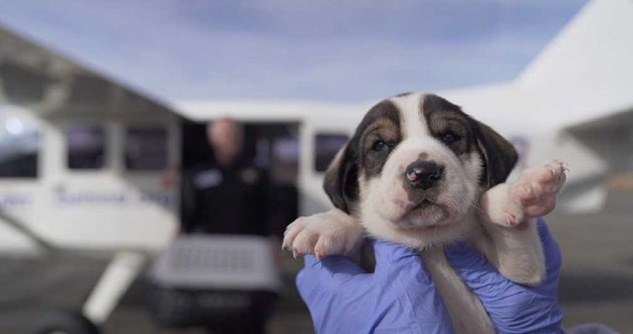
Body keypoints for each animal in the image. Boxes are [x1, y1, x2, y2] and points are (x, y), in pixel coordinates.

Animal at [284, 92, 564, 332]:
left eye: (449, 136)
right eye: (380, 145)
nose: (422, 173)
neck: (430, 240)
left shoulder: (522, 274)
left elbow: (512, 233)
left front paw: (522, 192)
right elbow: (356, 226)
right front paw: (325, 224)